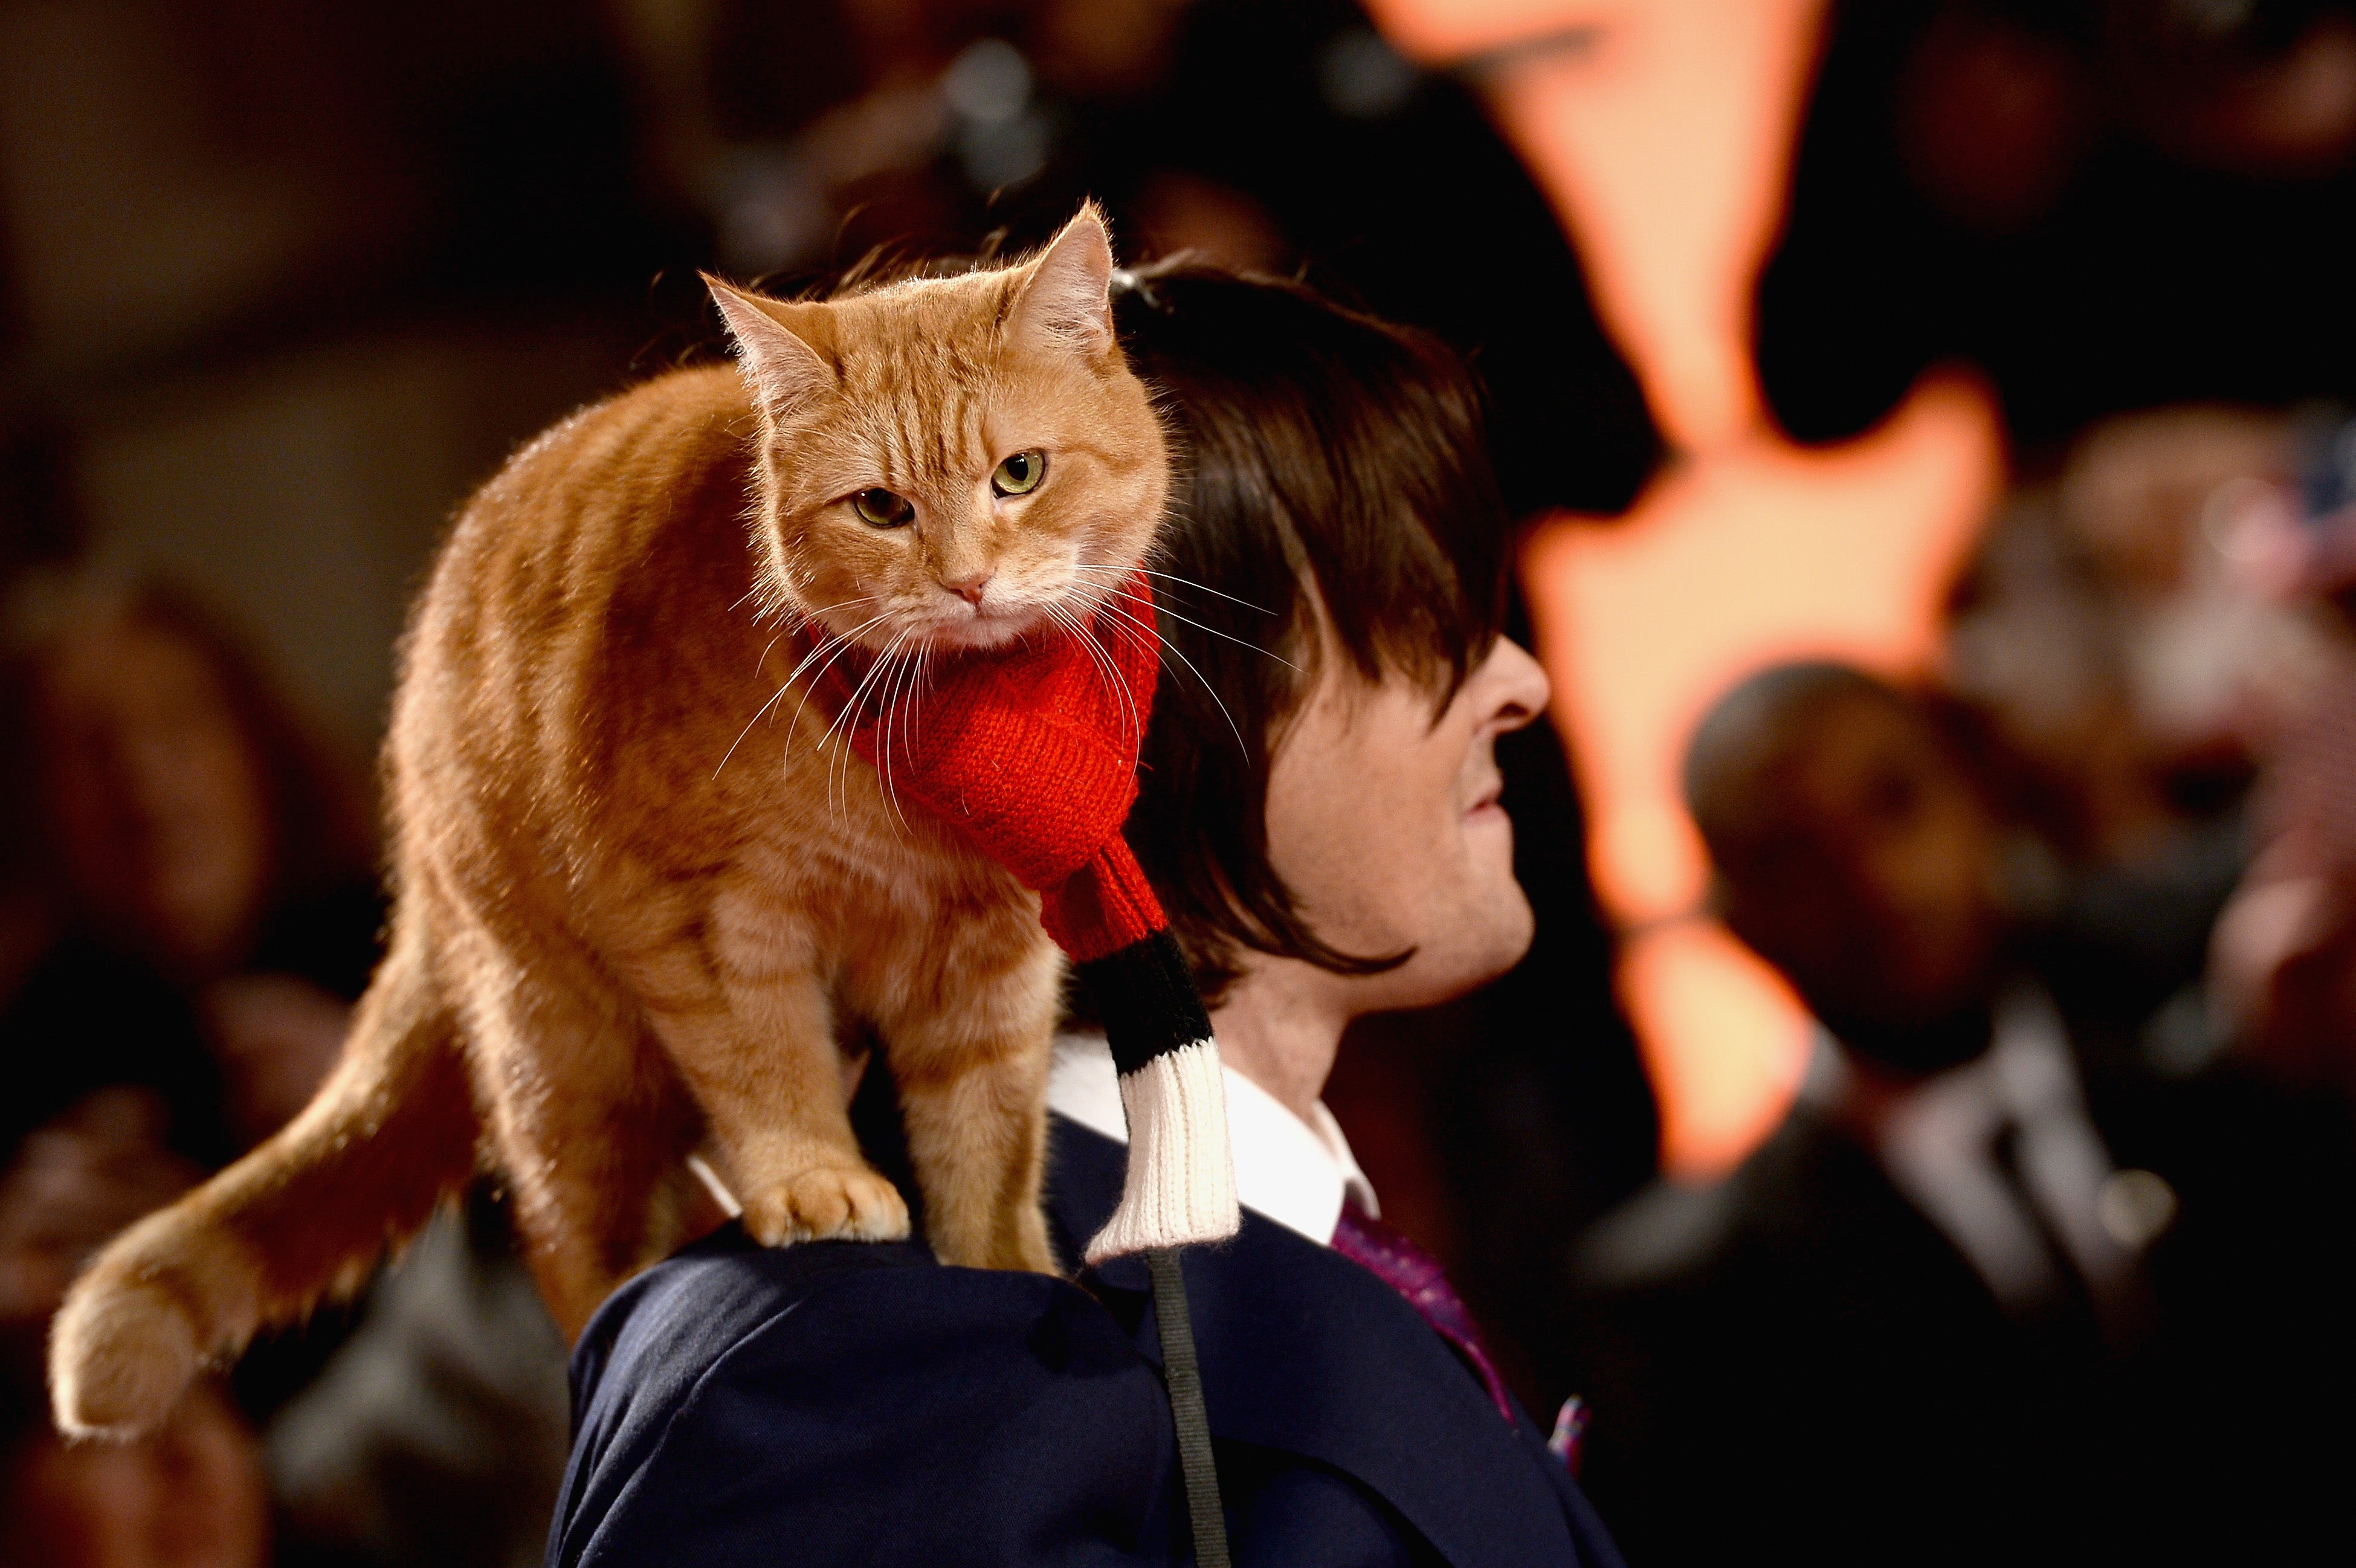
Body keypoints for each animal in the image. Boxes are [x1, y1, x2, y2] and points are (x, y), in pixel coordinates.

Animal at [48, 207, 1168, 1441]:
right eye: (881, 508)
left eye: (1019, 475)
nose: (967, 582)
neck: (920, 757)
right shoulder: (702, 916)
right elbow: (767, 1068)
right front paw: (814, 1180)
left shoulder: (991, 965)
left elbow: (986, 1149)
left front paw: (1005, 1275)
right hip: (562, 1064)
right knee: (585, 1265)